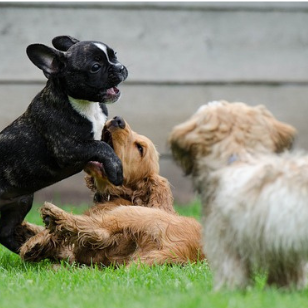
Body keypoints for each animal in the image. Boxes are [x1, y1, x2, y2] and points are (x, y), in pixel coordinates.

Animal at [18, 116, 203, 266]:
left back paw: (53, 217)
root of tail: (184, 250)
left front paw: (35, 240)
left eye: (140, 148)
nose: (117, 119)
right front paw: (28, 229)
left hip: (131, 214)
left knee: (99, 231)